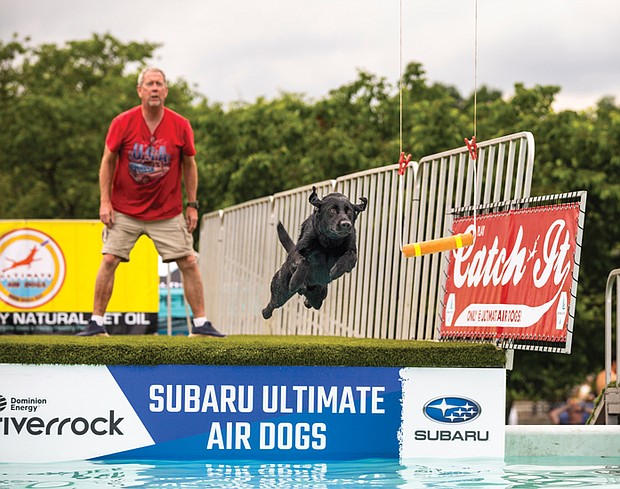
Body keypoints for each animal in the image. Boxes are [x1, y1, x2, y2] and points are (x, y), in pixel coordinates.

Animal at [262, 185, 368, 318]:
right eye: (332, 210)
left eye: (349, 211)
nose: (346, 224)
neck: (329, 242)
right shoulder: (298, 251)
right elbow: (304, 262)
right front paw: (295, 281)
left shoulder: (352, 255)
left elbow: (350, 256)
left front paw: (336, 270)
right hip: (280, 292)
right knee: (271, 306)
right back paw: (267, 311)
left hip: (319, 296)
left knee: (313, 303)